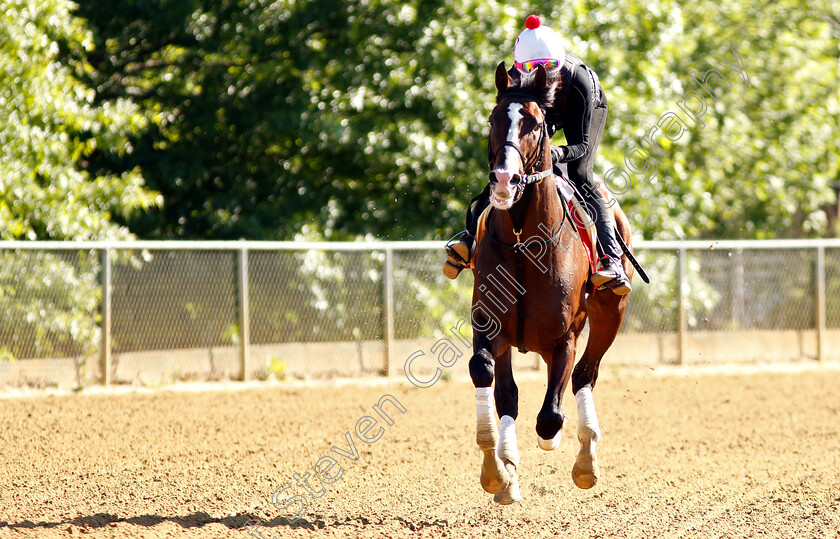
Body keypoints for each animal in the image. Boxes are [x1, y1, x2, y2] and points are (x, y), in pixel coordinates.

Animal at [470, 63, 632, 506]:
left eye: (536, 124)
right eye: (493, 118)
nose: (504, 179)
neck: (524, 242)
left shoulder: (565, 336)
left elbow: (550, 416)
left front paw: (553, 444)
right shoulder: (489, 327)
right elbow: (487, 376)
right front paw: (497, 471)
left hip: (609, 314)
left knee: (583, 375)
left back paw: (586, 462)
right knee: (510, 394)